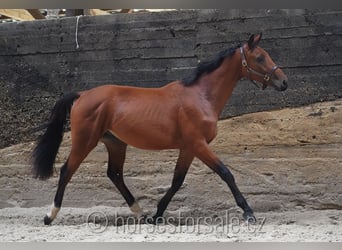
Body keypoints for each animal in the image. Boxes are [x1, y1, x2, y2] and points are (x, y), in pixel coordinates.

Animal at [32, 33, 288, 225]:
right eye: (260, 57)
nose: (284, 82)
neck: (201, 96)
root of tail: (82, 94)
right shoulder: (198, 144)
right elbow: (226, 173)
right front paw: (248, 212)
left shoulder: (188, 148)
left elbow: (177, 181)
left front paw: (157, 215)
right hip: (85, 141)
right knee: (67, 170)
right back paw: (49, 216)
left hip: (115, 143)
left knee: (115, 174)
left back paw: (140, 212)